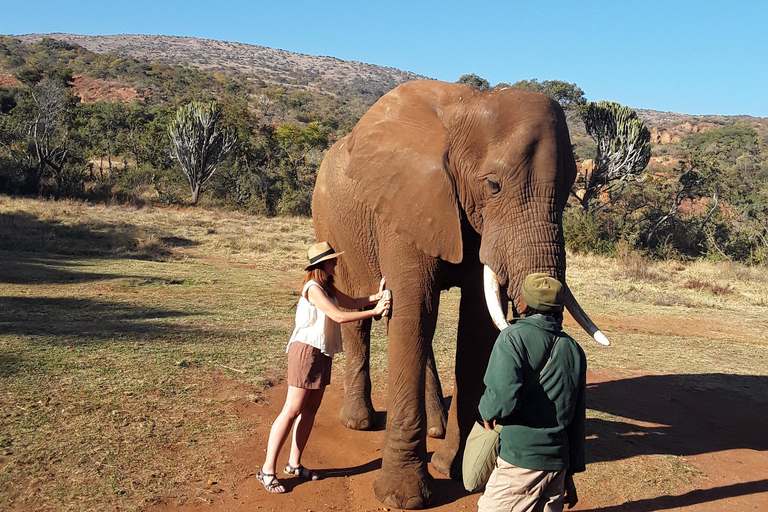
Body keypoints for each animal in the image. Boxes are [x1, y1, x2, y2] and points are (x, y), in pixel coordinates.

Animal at [311, 80, 608, 509]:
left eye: (570, 189)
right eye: (493, 185)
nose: (568, 492)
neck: (469, 109)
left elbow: (475, 328)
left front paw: (452, 468)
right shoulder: (403, 203)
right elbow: (413, 309)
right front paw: (404, 497)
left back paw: (435, 430)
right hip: (333, 225)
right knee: (363, 313)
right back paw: (359, 422)